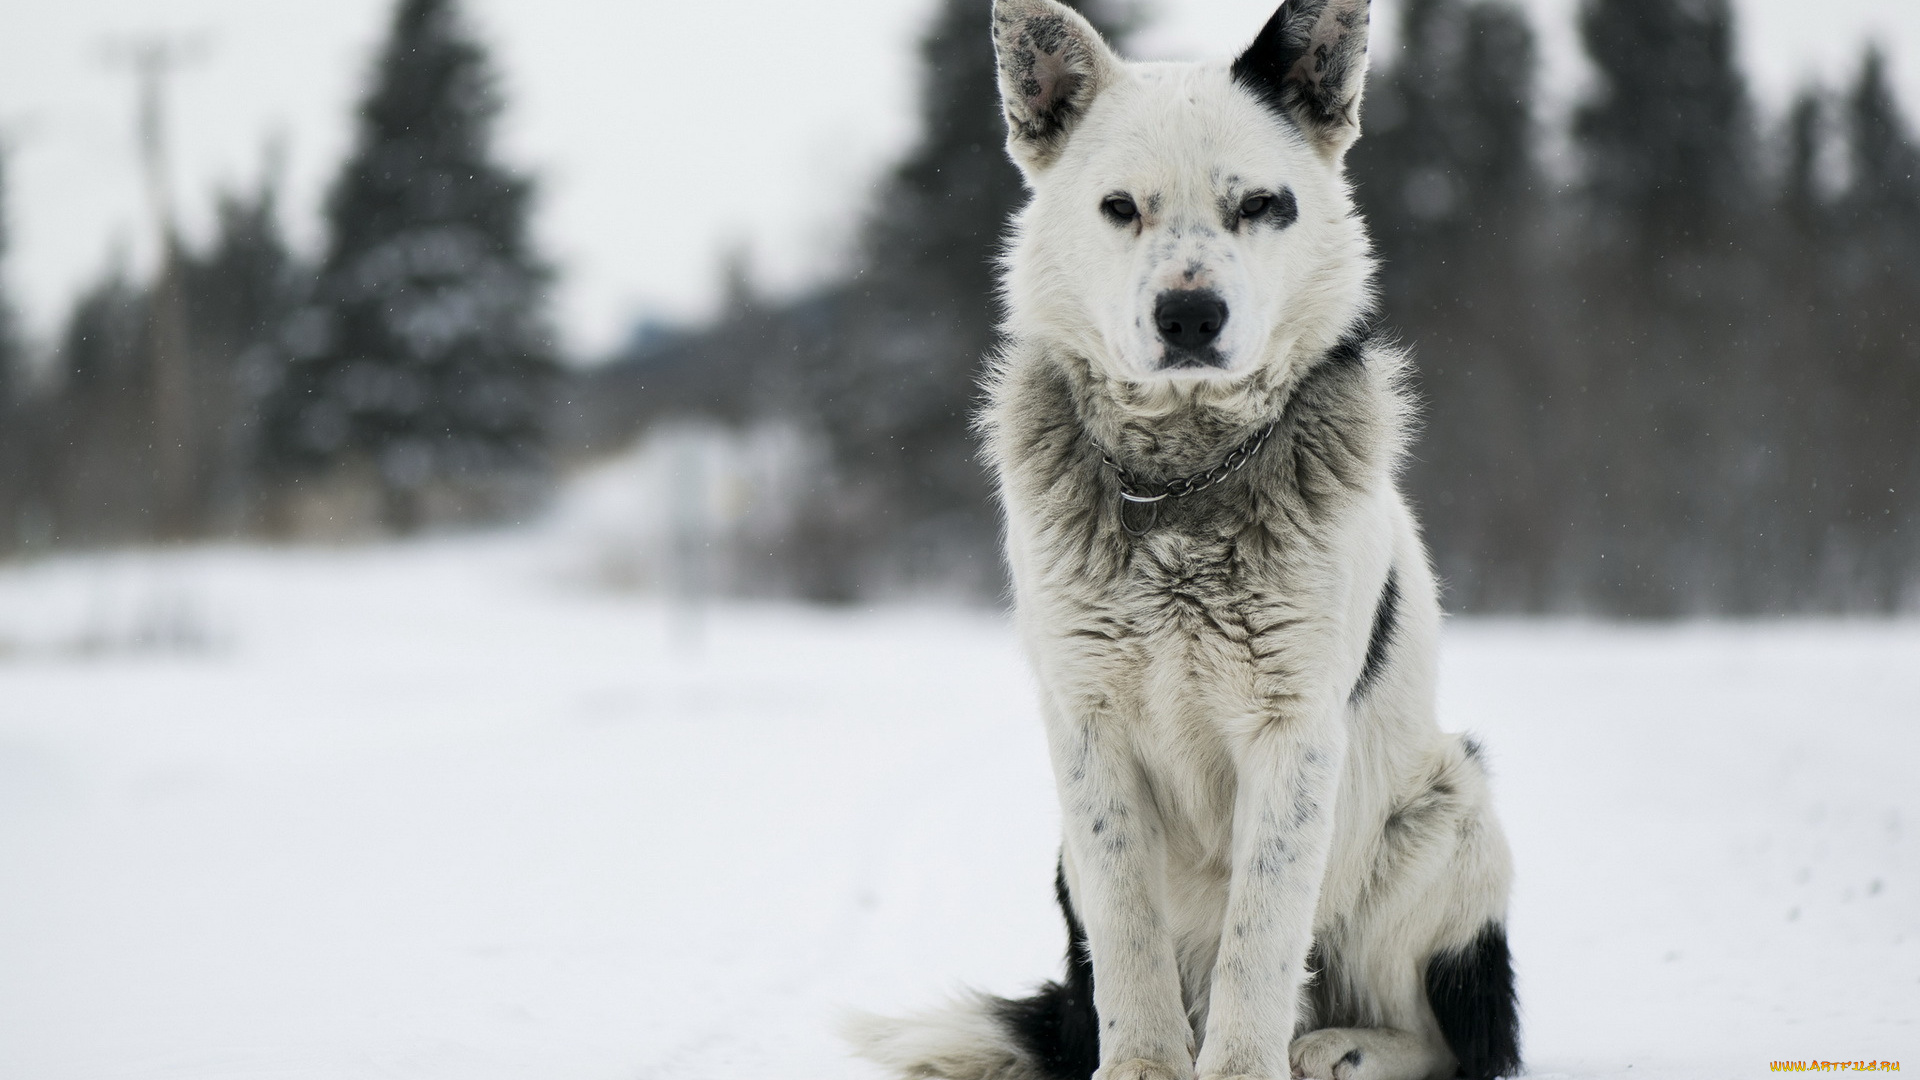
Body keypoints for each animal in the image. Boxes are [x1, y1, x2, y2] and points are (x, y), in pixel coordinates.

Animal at [848, 2, 1520, 1076]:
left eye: (1261, 205)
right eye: (1121, 207)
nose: (1190, 315)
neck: (1181, 483)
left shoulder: (1294, 734)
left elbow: (1262, 936)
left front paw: (1243, 1064)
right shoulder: (1088, 731)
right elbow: (1130, 934)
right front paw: (1142, 1065)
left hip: (1449, 804)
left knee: (1456, 1040)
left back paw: (1340, 1048)